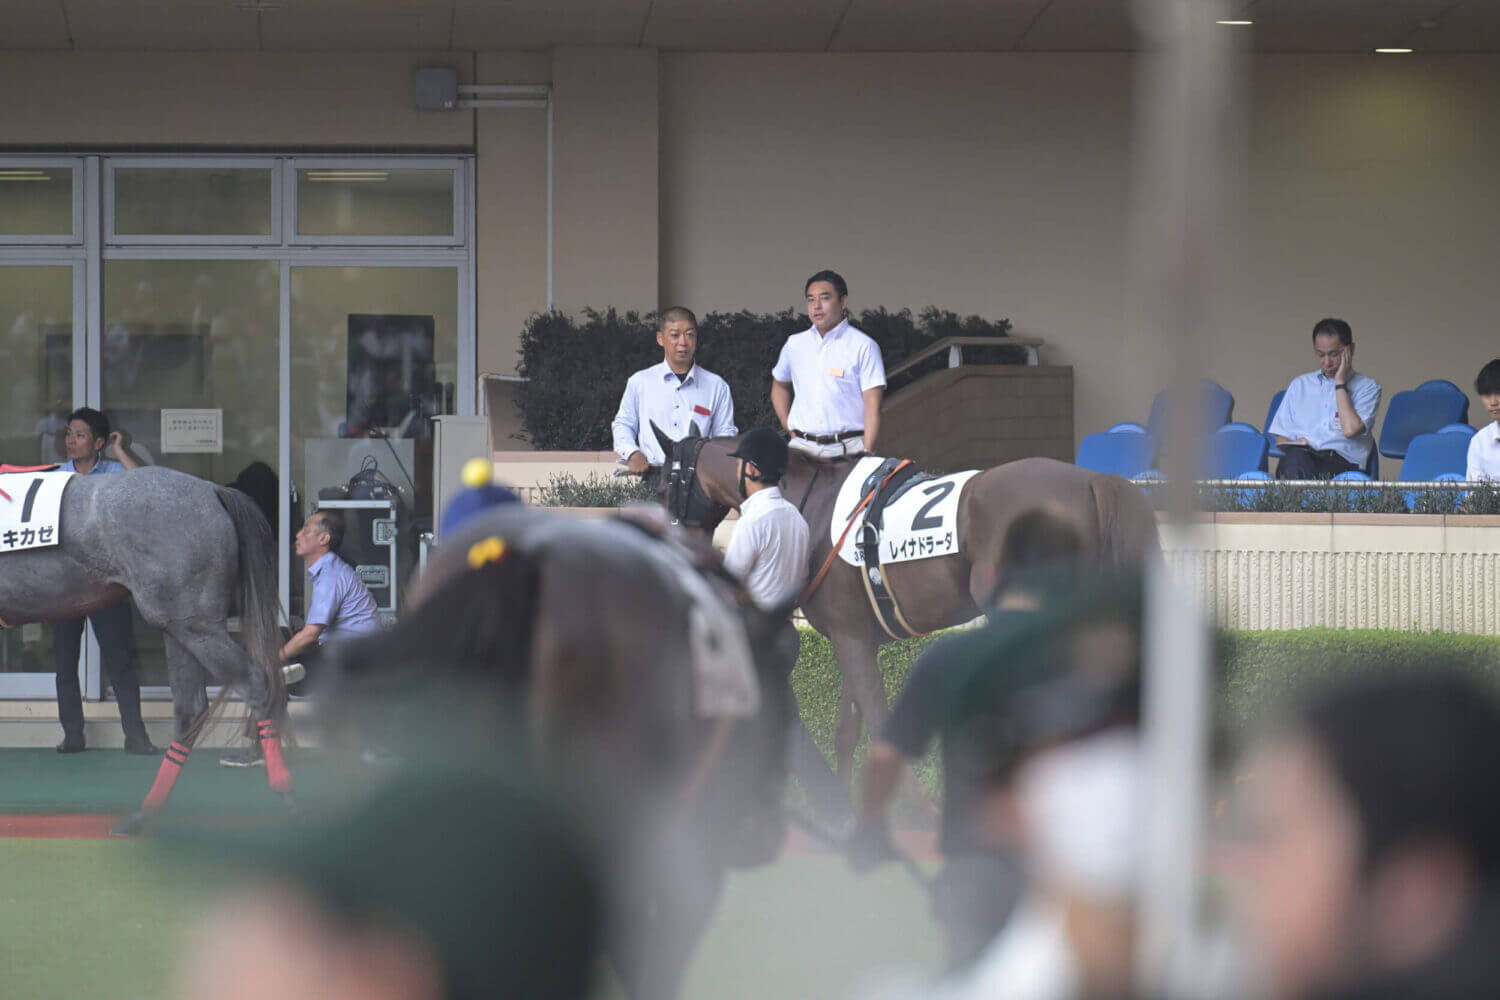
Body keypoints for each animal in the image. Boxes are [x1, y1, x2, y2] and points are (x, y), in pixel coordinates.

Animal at [0, 464, 288, 833]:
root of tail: (212, 490)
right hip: (179, 628)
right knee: (190, 708)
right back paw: (143, 813)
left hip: (195, 626)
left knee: (254, 682)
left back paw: (284, 792)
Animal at [648, 425, 1158, 779]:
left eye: (663, 488)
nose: (678, 546)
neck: (806, 505)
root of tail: (1096, 481)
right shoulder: (854, 636)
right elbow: (847, 733)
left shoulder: (851, 639)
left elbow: (877, 724)